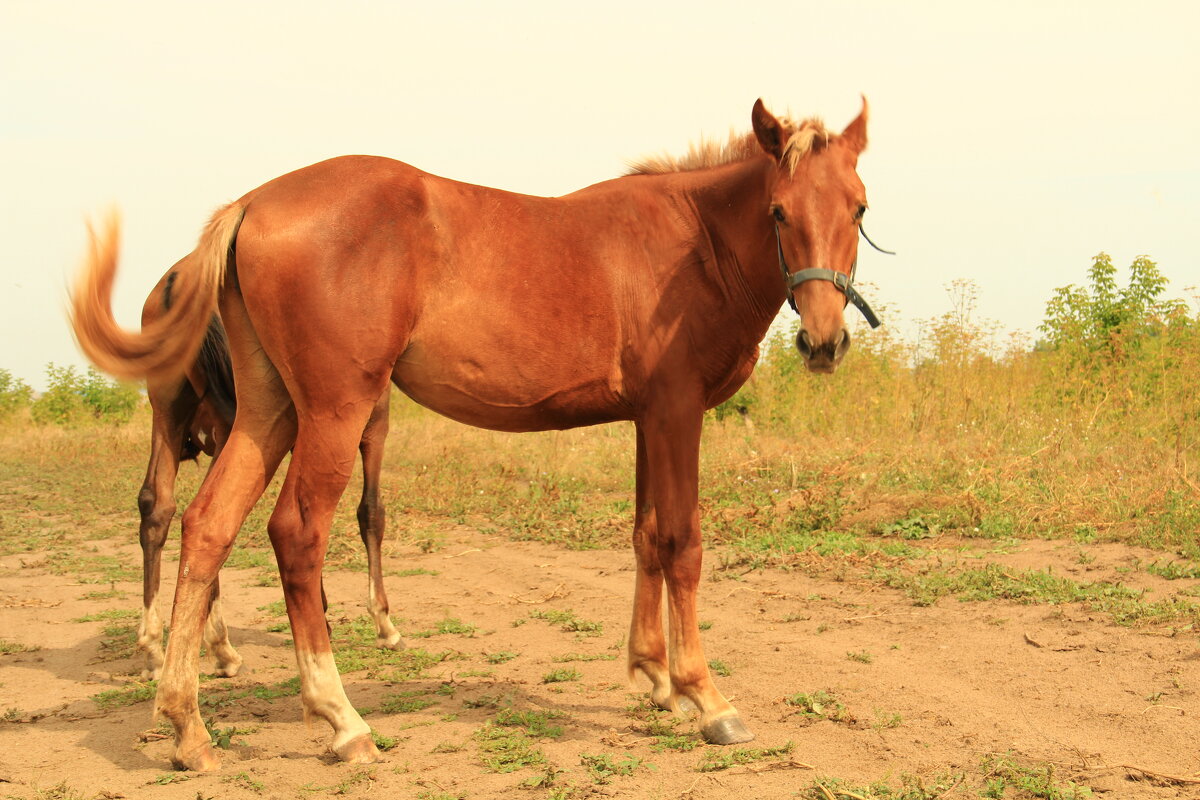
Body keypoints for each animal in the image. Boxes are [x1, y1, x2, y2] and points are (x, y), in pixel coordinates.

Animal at [133, 271, 400, 681]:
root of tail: (177, 284)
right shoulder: (371, 426)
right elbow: (369, 512)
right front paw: (383, 623)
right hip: (235, 421)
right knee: (211, 516)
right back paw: (218, 645)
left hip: (169, 412)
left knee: (161, 507)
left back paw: (159, 649)